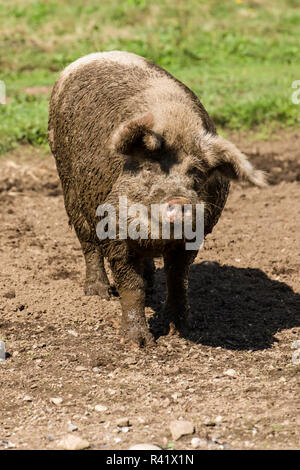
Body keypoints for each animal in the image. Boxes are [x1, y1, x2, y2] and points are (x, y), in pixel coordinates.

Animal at [48, 51, 266, 346]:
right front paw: (138, 343)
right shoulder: (114, 230)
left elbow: (177, 278)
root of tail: (90, 57)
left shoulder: (196, 235)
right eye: (149, 168)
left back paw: (151, 283)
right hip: (69, 186)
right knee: (87, 243)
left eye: (196, 172)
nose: (180, 201)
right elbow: (131, 285)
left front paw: (181, 330)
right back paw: (98, 292)